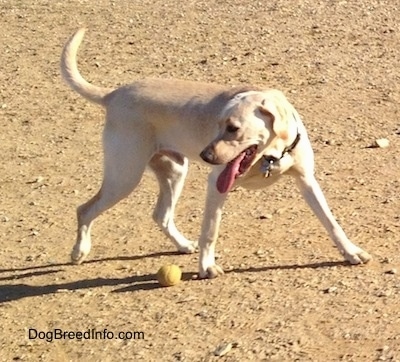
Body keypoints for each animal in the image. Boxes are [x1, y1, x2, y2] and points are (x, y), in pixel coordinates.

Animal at [60, 29, 372, 278]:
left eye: (233, 128)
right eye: (217, 123)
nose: (206, 156)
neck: (270, 155)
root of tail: (113, 94)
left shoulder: (307, 180)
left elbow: (331, 221)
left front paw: (351, 252)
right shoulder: (216, 185)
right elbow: (210, 230)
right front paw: (207, 267)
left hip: (174, 171)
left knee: (161, 215)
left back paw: (183, 244)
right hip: (125, 177)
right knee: (84, 209)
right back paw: (79, 251)